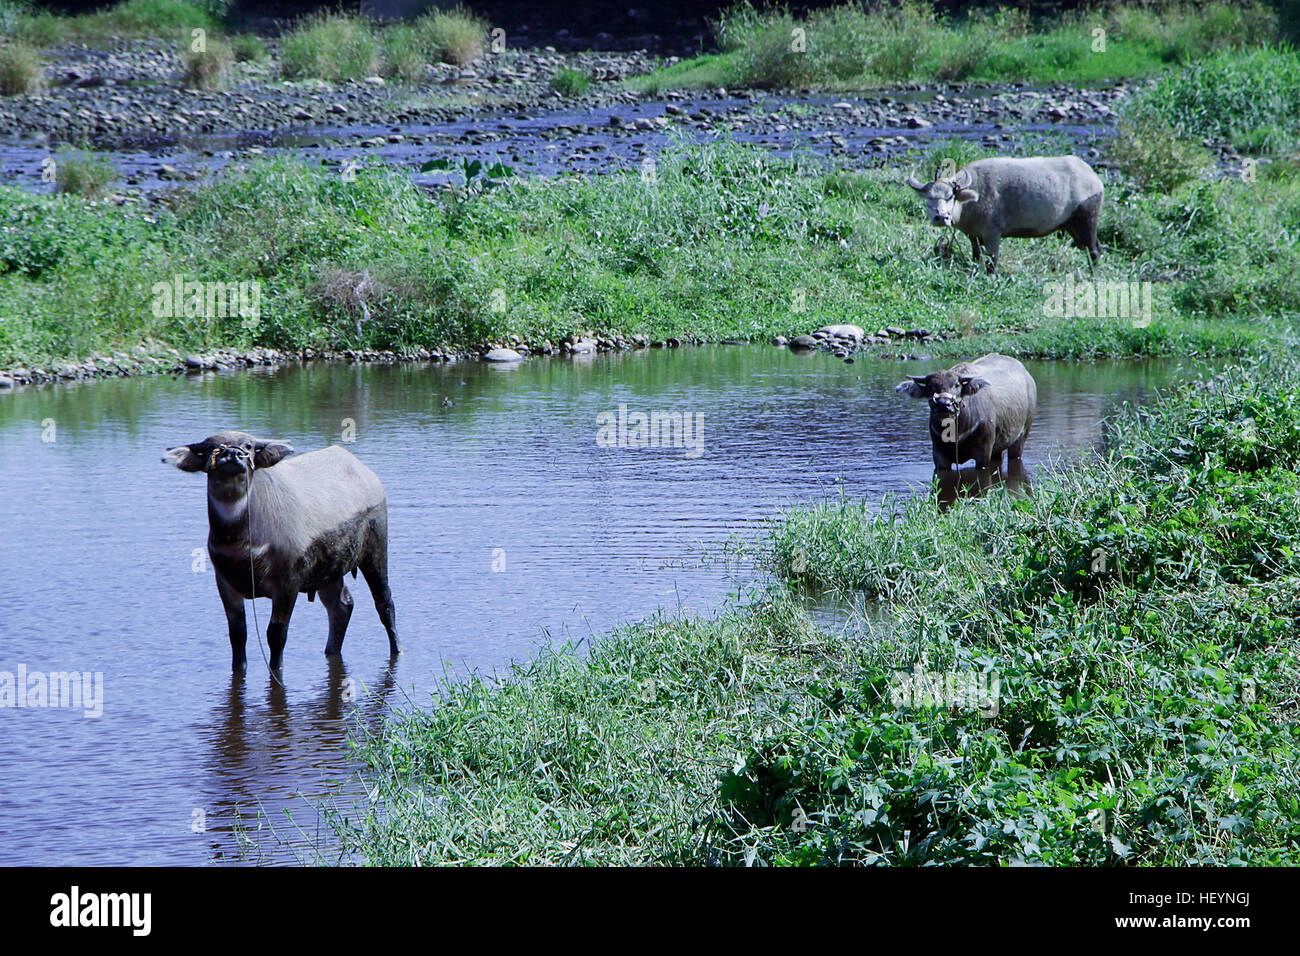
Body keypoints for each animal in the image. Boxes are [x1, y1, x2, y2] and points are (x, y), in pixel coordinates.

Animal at [166, 429, 400, 671]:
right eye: (212, 447)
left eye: (248, 446)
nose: (232, 455)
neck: (241, 542)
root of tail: (366, 473)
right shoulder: (225, 582)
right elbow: (238, 634)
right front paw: (240, 667)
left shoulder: (287, 584)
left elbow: (276, 635)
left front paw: (276, 669)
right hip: (329, 570)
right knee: (341, 606)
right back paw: (331, 650)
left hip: (375, 551)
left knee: (385, 603)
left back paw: (397, 648)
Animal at [894, 353, 1034, 473]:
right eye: (930, 386)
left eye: (956, 385)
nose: (943, 403)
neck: (957, 431)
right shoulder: (939, 455)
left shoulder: (984, 451)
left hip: (1022, 436)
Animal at [904, 155, 1107, 270]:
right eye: (929, 198)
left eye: (950, 197)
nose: (941, 217)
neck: (974, 200)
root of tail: (1093, 177)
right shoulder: (973, 235)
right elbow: (976, 256)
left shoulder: (992, 234)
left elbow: (992, 260)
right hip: (1072, 226)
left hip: (1087, 219)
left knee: (1094, 250)